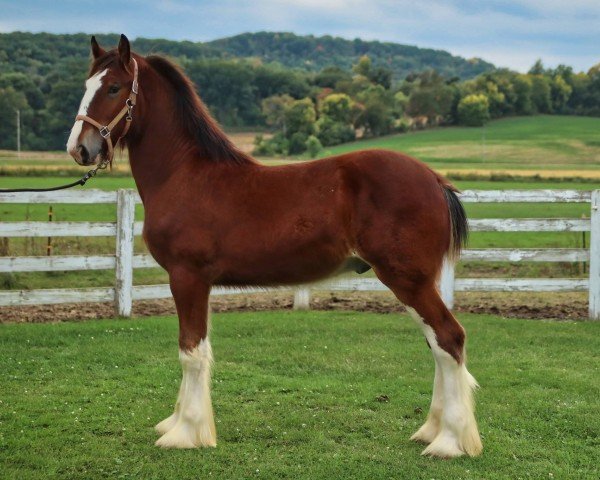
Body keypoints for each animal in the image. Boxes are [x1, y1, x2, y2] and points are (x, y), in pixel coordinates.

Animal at [65, 34, 482, 458]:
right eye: (86, 85)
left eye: (114, 87)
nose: (79, 148)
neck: (185, 175)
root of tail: (434, 180)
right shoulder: (198, 284)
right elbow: (197, 348)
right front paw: (179, 422)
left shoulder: (187, 278)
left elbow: (191, 352)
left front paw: (185, 433)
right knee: (437, 345)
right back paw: (431, 430)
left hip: (408, 280)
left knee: (449, 339)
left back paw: (449, 441)